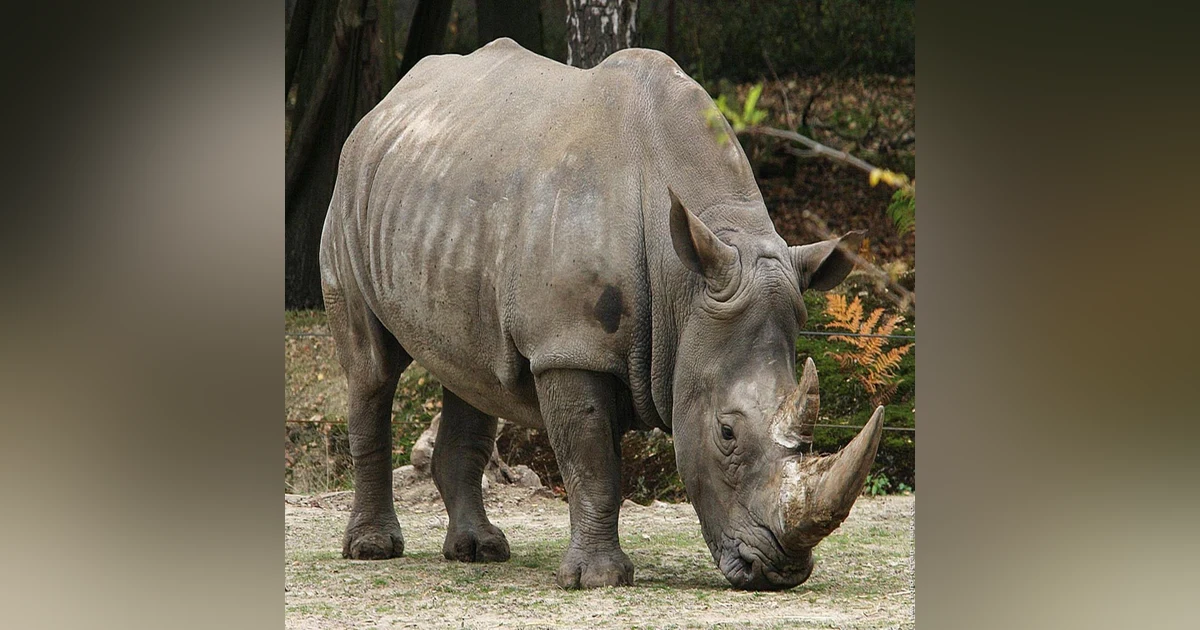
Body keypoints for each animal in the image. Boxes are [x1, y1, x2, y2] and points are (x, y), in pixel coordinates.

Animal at [319, 38, 885, 591]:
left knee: (473, 372)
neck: (687, 283)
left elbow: (599, 463)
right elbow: (593, 467)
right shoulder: (570, 346)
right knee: (372, 370)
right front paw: (598, 579)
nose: (778, 571)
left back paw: (479, 552)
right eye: (726, 433)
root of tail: (384, 106)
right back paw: (372, 550)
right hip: (349, 192)